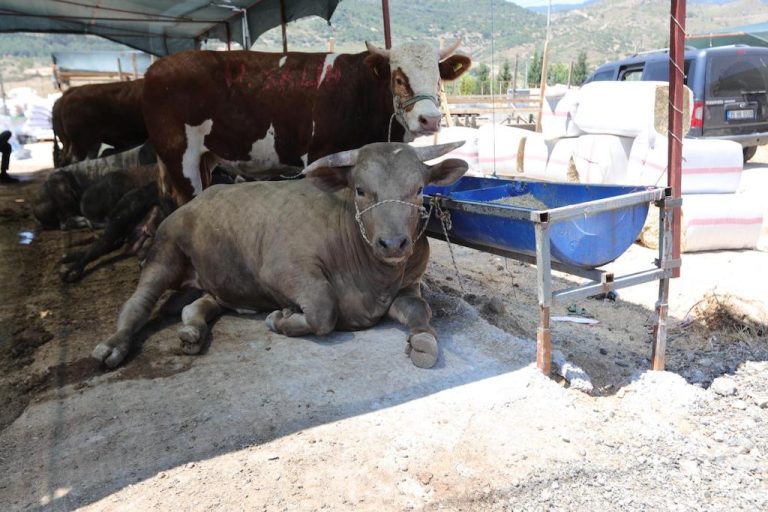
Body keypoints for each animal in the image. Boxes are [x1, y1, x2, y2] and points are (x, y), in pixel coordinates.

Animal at [94, 142, 472, 370]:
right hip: (165, 253)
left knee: (197, 305)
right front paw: (282, 319)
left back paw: (192, 332)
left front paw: (422, 341)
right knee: (138, 304)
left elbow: (421, 312)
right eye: (361, 190)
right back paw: (114, 345)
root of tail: (196, 200)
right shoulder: (283, 271)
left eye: (419, 189)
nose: (393, 244)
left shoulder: (408, 286)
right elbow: (323, 310)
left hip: (222, 282)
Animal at [141, 40, 472, 204]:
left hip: (205, 158)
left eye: (438, 77)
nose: (430, 120)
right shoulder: (320, 155)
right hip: (179, 157)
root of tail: (156, 68)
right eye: (399, 78)